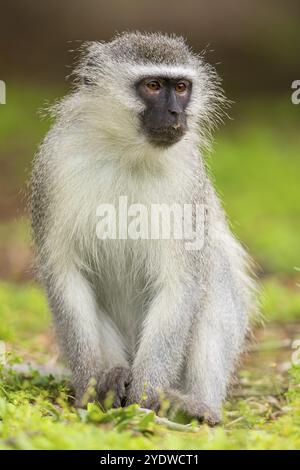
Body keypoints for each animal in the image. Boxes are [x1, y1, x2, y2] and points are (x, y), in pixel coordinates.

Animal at [29, 31, 255, 424]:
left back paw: (195, 408)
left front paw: (145, 397)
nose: (177, 112)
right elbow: (65, 272)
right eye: (152, 86)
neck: (127, 154)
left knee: (213, 271)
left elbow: (181, 282)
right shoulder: (56, 165)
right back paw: (112, 379)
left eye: (181, 87)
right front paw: (89, 387)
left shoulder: (187, 181)